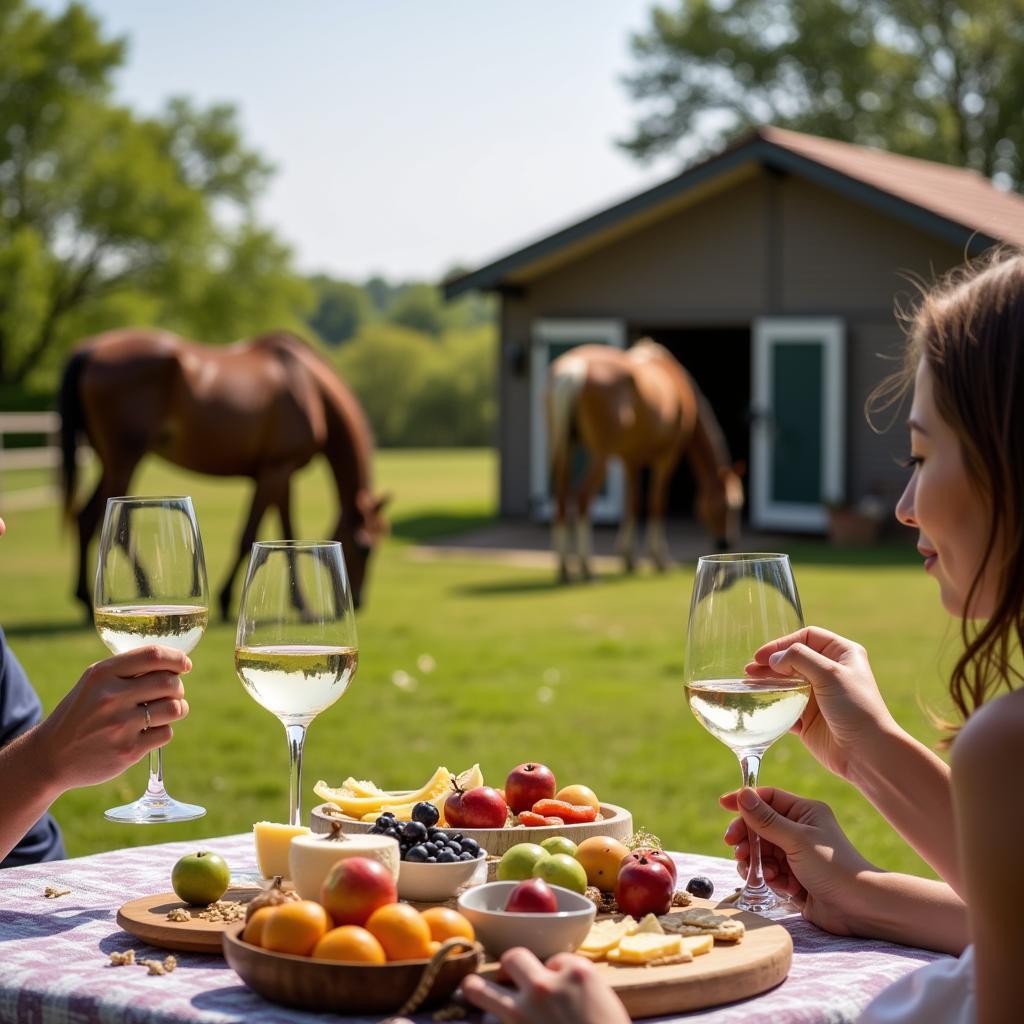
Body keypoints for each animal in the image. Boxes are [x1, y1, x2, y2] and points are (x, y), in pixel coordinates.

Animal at [59, 327, 387, 614]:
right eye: (365, 547)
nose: (359, 599)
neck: (306, 384)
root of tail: (91, 348)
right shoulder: (275, 470)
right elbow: (248, 535)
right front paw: (230, 598)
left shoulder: (283, 473)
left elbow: (288, 534)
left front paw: (299, 604)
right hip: (125, 459)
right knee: (110, 526)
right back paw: (127, 592)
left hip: (110, 460)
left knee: (90, 520)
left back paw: (96, 596)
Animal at [548, 342, 741, 585]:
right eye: (729, 505)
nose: (725, 542)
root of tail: (574, 369)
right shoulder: (667, 455)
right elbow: (656, 502)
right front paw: (659, 559)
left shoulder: (631, 459)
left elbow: (633, 502)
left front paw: (629, 558)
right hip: (601, 453)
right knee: (583, 497)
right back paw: (586, 567)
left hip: (563, 446)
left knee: (561, 499)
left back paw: (564, 567)